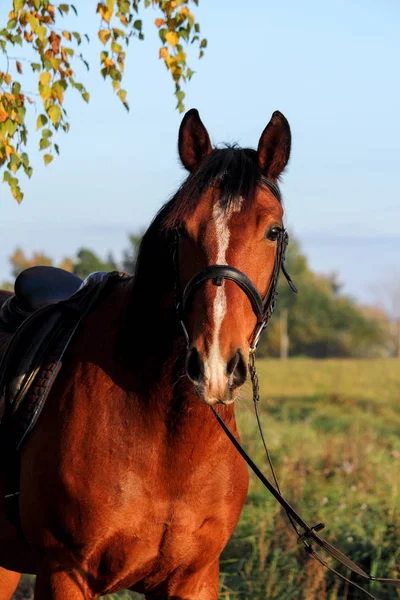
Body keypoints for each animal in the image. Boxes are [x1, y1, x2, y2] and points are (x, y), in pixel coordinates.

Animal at [0, 109, 292, 600]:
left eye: (272, 231)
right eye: (180, 230)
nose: (215, 366)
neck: (166, 442)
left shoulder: (195, 579)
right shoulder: (63, 573)